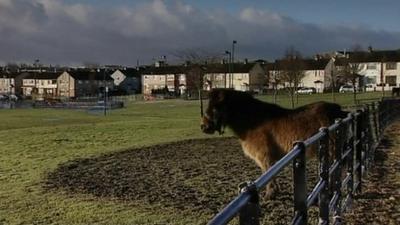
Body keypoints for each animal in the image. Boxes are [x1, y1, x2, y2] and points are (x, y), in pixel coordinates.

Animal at [200, 89, 346, 199]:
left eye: (215, 107)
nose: (204, 127)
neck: (253, 121)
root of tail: (338, 111)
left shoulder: (264, 157)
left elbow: (268, 174)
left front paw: (270, 194)